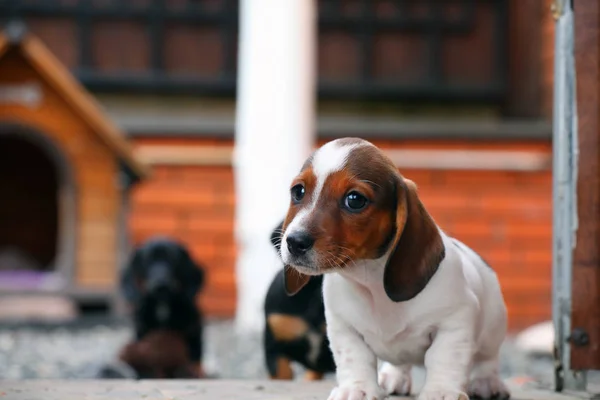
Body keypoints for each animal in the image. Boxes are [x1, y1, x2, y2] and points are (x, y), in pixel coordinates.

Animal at [119, 236, 209, 380]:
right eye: (147, 261)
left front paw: (194, 371)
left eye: (173, 260)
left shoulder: (194, 330)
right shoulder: (142, 334)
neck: (163, 305)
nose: (161, 285)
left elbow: (195, 355)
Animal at [278, 138, 508, 400]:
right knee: (401, 363)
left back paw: (487, 382)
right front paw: (356, 388)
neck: (372, 282)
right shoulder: (343, 327)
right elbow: (355, 358)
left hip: (492, 329)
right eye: (298, 191)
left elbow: (444, 358)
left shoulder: (454, 323)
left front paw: (441, 391)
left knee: (487, 360)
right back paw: (393, 376)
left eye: (354, 199)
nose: (294, 242)